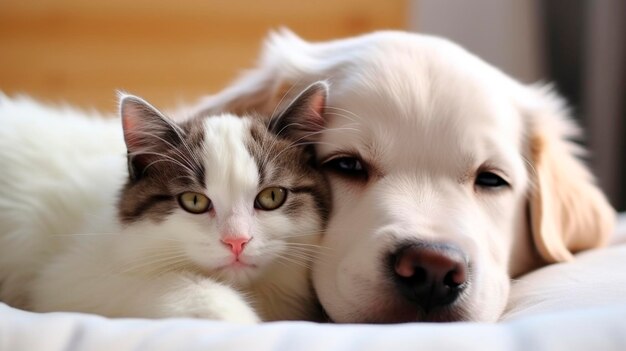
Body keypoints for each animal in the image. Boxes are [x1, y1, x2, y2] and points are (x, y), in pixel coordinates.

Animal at [0, 82, 332, 324]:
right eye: (194, 201)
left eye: (271, 196)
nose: (236, 241)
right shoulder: (69, 278)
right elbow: (180, 283)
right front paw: (233, 317)